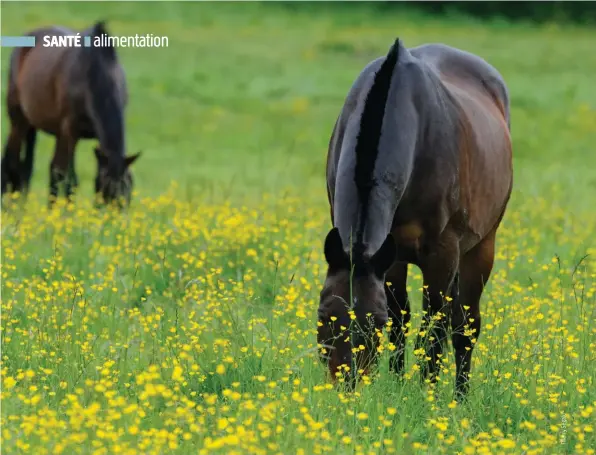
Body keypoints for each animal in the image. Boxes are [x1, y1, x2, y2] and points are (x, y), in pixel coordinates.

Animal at [0, 20, 141, 207]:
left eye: (129, 189)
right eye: (107, 189)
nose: (114, 216)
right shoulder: (71, 131)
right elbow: (69, 179)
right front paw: (67, 212)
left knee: (45, 168)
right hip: (19, 121)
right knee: (12, 162)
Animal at [316, 37, 512, 400]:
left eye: (374, 323)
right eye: (324, 315)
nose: (346, 387)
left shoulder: (441, 254)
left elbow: (432, 326)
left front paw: (425, 395)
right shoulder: (389, 254)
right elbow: (401, 320)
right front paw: (397, 385)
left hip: (482, 246)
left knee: (466, 324)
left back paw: (460, 397)